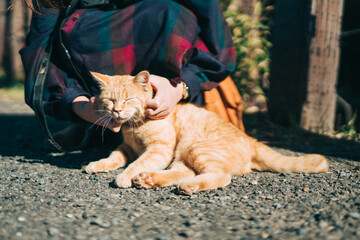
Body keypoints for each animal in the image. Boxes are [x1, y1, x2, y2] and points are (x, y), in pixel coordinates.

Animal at [85, 70, 330, 194]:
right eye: (110, 100)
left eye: (128, 100)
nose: (117, 111)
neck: (134, 128)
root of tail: (250, 139)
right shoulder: (127, 147)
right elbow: (113, 157)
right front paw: (97, 164)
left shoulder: (159, 149)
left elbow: (137, 163)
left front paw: (125, 176)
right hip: (183, 155)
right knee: (184, 172)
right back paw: (149, 180)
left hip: (194, 146)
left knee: (220, 176)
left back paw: (184, 186)